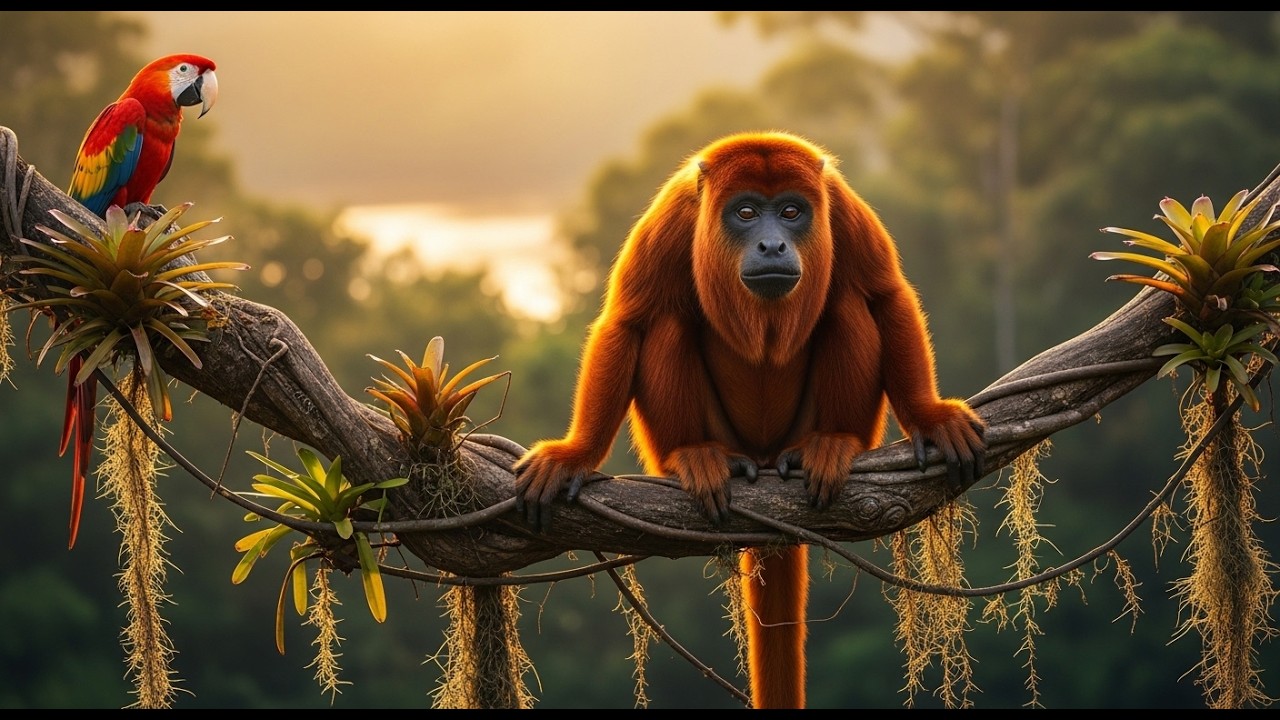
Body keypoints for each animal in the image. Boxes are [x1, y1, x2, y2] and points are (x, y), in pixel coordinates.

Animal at [514, 131, 986, 709]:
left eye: (791, 212)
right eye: (745, 213)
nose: (772, 245)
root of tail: (764, 456)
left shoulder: (841, 206)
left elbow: (885, 296)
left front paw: (930, 417)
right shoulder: (672, 217)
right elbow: (627, 322)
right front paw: (574, 454)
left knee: (848, 303)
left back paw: (832, 443)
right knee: (667, 322)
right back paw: (695, 456)